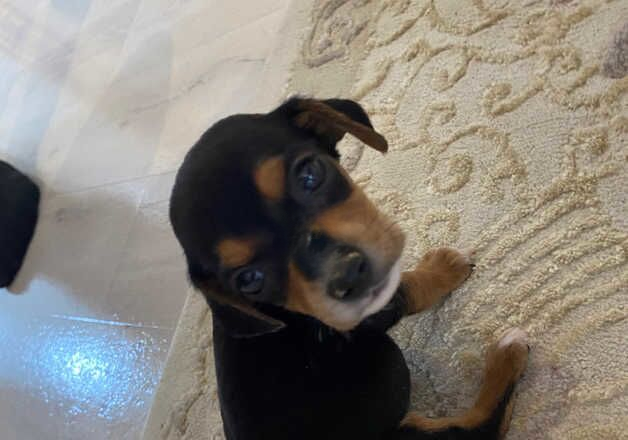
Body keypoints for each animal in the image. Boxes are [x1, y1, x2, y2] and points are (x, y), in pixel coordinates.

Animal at [169, 98, 528, 440]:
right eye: (249, 280)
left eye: (309, 174)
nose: (347, 275)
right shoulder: (372, 312)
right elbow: (408, 288)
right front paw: (443, 268)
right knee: (478, 428)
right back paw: (507, 354)